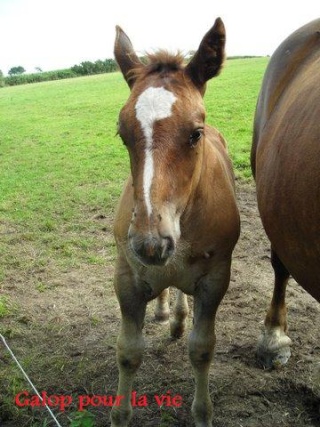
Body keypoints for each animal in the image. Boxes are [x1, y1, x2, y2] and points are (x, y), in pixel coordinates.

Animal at [111, 17, 239, 427]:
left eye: (195, 133)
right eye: (123, 134)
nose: (151, 242)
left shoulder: (215, 279)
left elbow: (201, 349)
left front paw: (202, 413)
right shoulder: (127, 275)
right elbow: (128, 351)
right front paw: (120, 414)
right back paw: (167, 310)